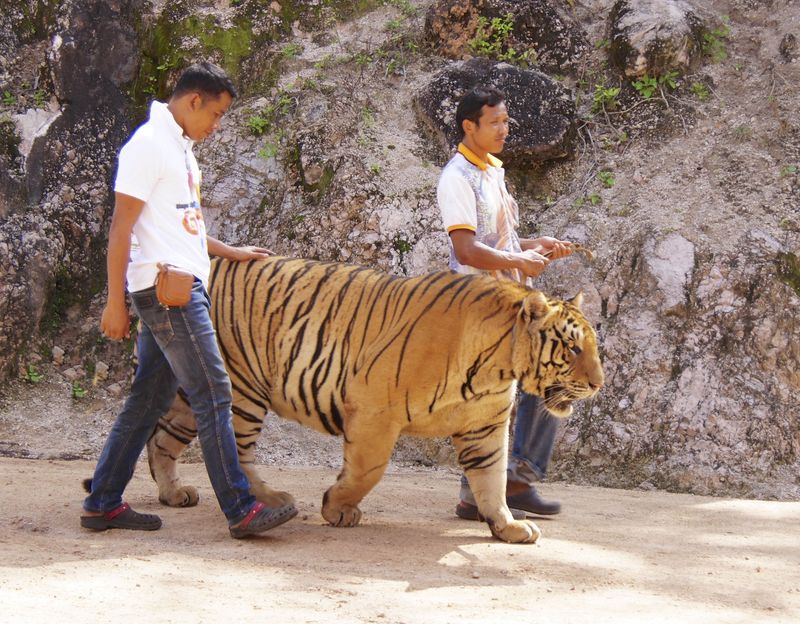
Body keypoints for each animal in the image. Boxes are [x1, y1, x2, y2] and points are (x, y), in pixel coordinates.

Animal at [145, 255, 604, 543]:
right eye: (573, 348)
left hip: (195, 389)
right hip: (241, 386)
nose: (599, 383)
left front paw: (507, 527)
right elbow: (369, 470)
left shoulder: (484, 427)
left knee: (162, 437)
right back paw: (273, 502)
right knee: (236, 453)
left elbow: (492, 482)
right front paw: (336, 508)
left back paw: (174, 493)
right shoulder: (374, 409)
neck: (498, 365)